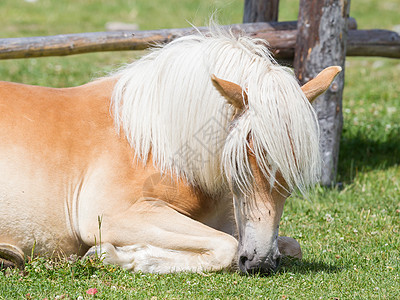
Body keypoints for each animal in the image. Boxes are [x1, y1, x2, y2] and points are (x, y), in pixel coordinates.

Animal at [0, 29, 340, 274]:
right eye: (241, 163)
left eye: (291, 173)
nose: (260, 263)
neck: (159, 143)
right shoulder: (115, 216)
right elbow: (226, 248)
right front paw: (111, 256)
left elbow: (290, 246)